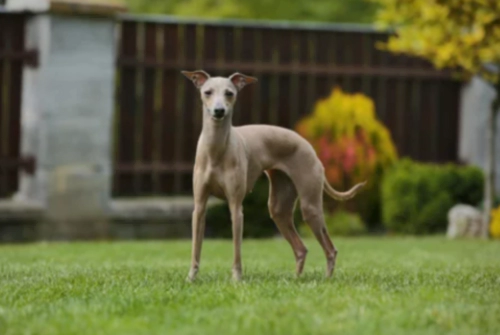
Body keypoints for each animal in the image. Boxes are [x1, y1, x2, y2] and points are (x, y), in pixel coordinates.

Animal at [182, 71, 366, 284]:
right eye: (207, 92)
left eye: (229, 93)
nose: (219, 111)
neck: (216, 150)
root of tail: (310, 148)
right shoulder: (199, 207)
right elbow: (196, 247)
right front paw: (191, 278)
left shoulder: (236, 207)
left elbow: (237, 249)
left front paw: (237, 279)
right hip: (278, 208)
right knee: (301, 249)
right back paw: (296, 279)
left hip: (310, 206)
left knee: (330, 250)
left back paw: (326, 279)